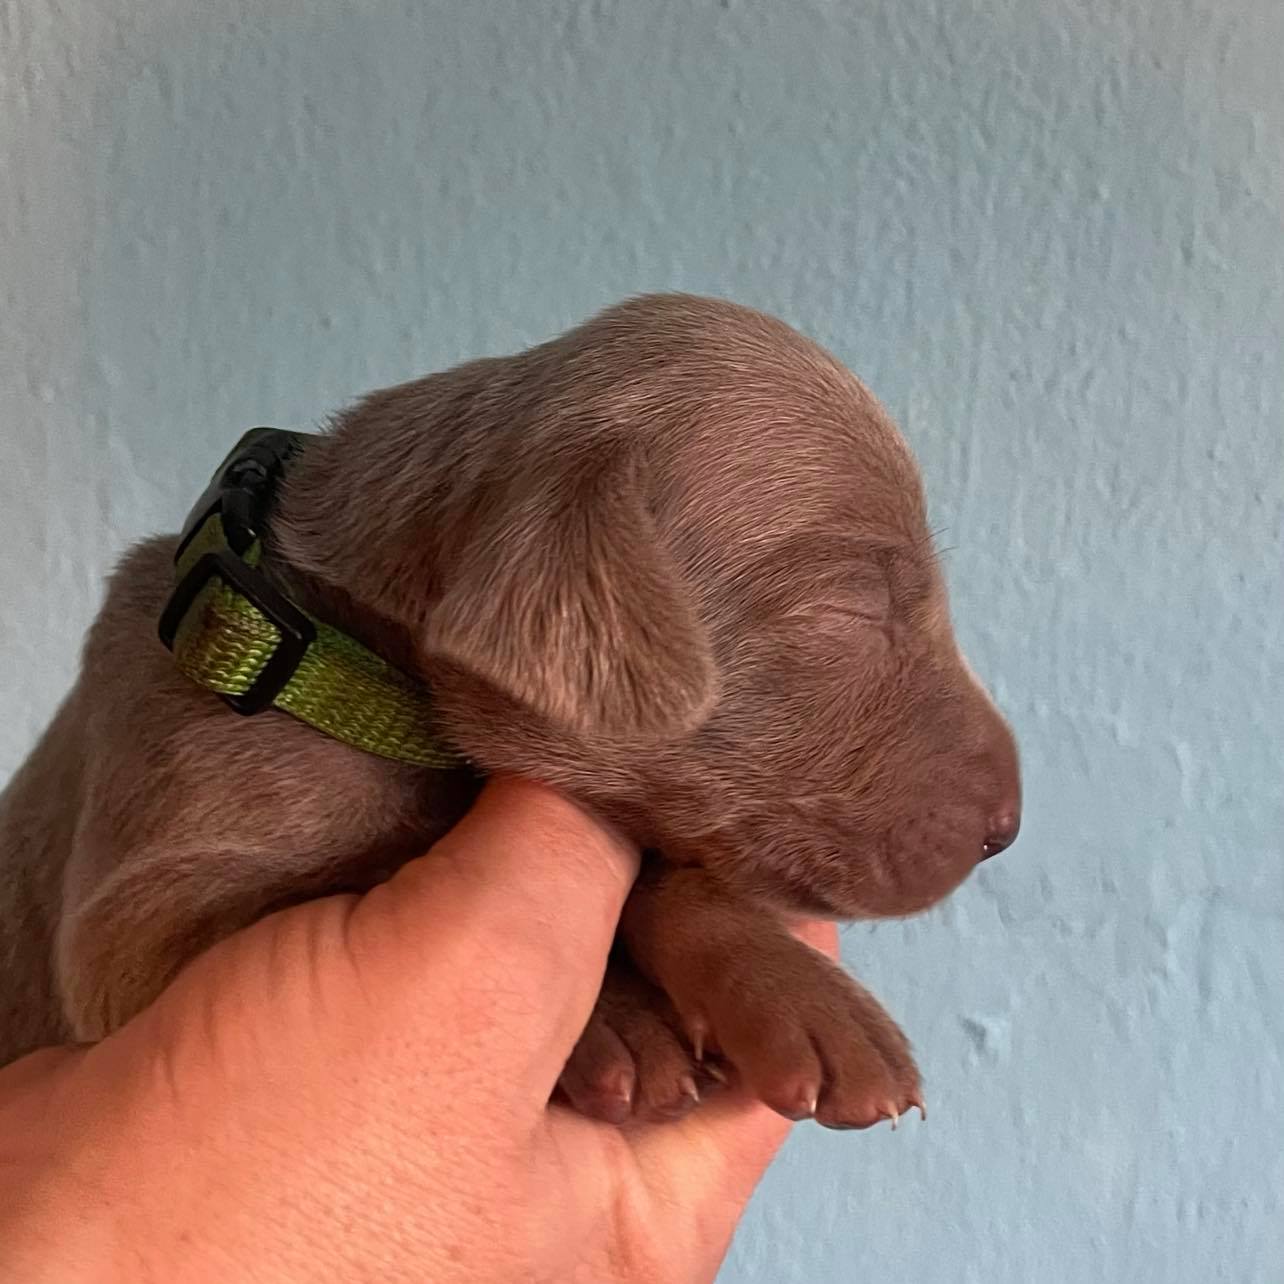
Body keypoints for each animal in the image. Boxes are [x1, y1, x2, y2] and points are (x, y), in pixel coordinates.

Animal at [0, 294, 1020, 1129]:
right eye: (853, 604)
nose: (1006, 829)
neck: (348, 653)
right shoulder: (136, 924)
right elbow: (358, 867)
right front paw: (619, 1026)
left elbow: (673, 869)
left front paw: (798, 997)